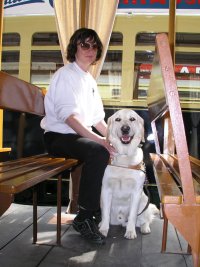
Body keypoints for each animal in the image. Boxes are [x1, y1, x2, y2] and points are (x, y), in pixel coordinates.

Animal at [99, 110, 159, 240]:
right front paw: (103, 230)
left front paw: (130, 232)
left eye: (132, 119)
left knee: (145, 219)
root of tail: (121, 221)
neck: (124, 158)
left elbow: (132, 215)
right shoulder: (106, 190)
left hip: (144, 201)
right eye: (118, 119)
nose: (125, 129)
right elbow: (105, 214)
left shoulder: (136, 192)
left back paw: (144, 228)